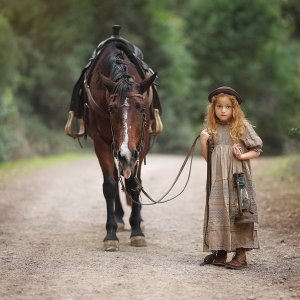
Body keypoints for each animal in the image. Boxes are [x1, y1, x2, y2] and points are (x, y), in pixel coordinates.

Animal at [82, 41, 157, 250]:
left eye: (141, 108)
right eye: (111, 109)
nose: (125, 152)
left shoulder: (140, 145)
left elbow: (134, 184)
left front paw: (137, 231)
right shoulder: (101, 142)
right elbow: (109, 185)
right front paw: (111, 234)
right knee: (116, 178)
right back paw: (120, 218)